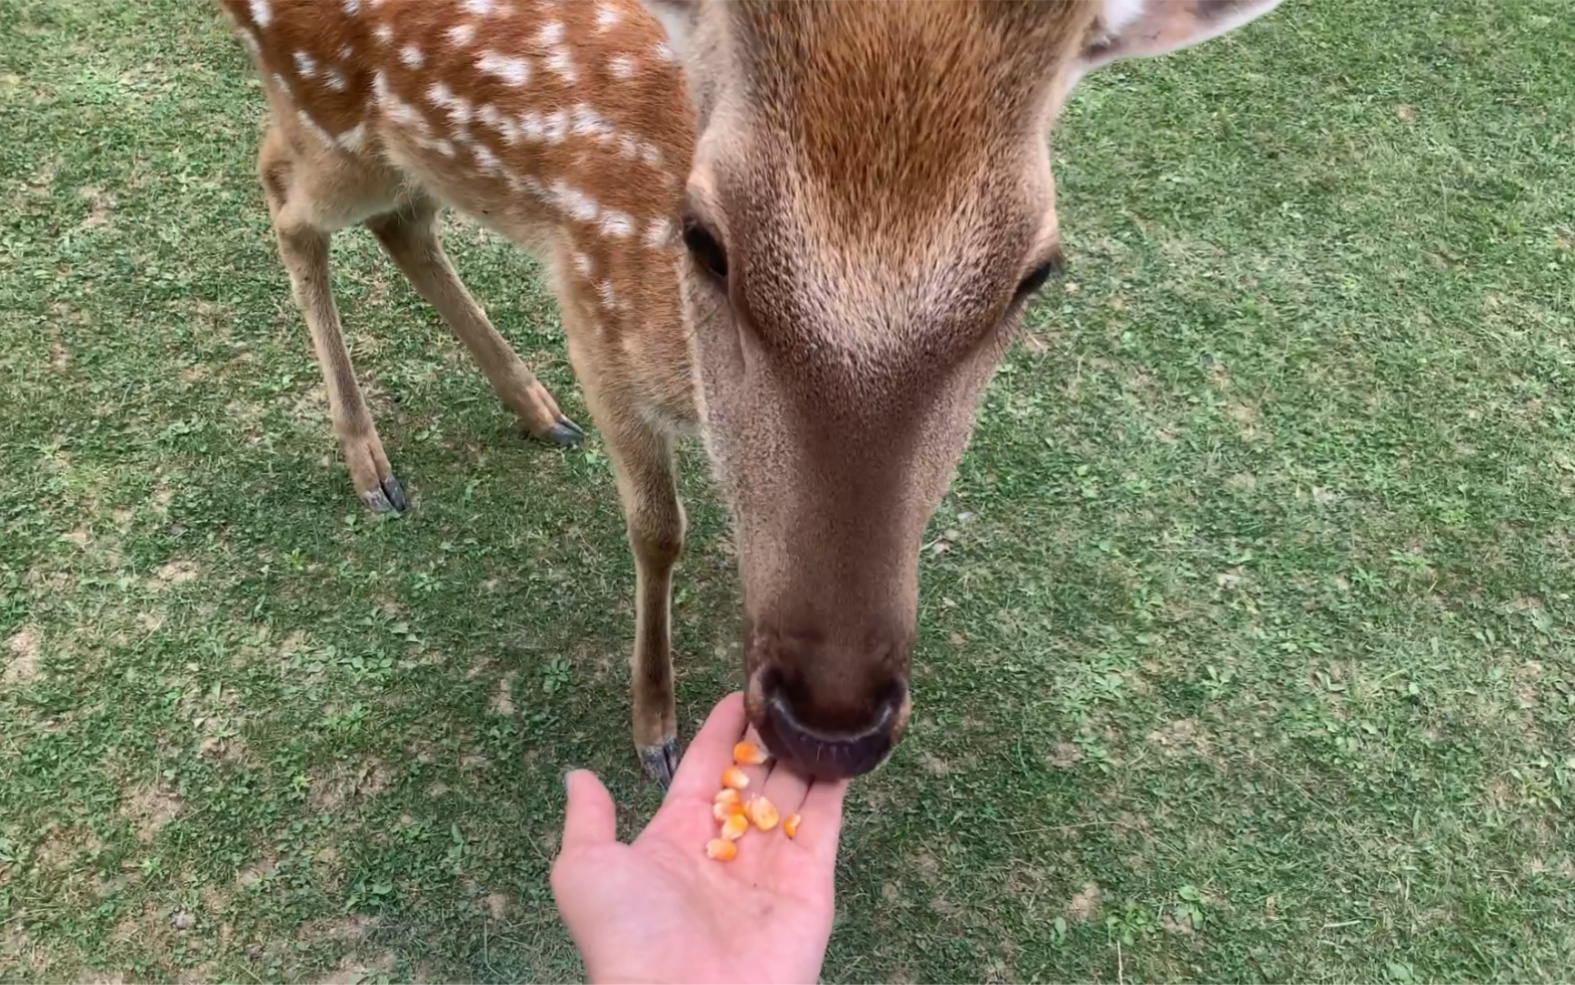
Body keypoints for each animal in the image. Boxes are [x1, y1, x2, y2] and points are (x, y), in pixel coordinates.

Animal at [218, 0, 1278, 784]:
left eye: (1036, 272)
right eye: (701, 237)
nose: (829, 724)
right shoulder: (590, 303)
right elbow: (658, 527)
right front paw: (653, 727)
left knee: (399, 218)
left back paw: (533, 409)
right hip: (328, 106)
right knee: (283, 194)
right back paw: (372, 465)